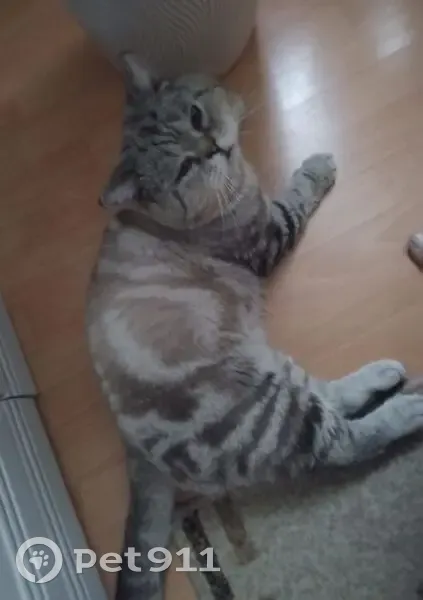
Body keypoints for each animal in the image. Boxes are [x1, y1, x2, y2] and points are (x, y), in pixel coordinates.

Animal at [86, 54, 423, 600]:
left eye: (196, 117)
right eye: (184, 168)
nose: (214, 148)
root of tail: (131, 449)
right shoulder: (268, 231)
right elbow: (297, 191)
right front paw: (317, 166)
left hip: (272, 374)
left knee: (331, 396)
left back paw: (384, 374)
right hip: (263, 413)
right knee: (343, 440)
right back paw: (411, 406)